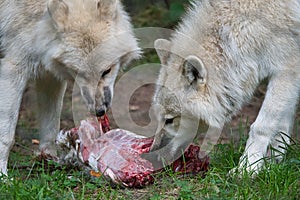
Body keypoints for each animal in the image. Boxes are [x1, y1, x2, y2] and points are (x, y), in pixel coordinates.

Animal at [0, 0, 140, 175]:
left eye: (106, 71)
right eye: (80, 73)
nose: (99, 111)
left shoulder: (50, 74)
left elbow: (51, 128)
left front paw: (49, 160)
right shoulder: (13, 68)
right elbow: (6, 135)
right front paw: (3, 176)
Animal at [149, 0, 300, 173]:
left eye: (169, 120)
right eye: (158, 117)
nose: (151, 156)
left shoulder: (287, 69)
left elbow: (261, 126)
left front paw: (247, 168)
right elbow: (282, 124)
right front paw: (273, 163)